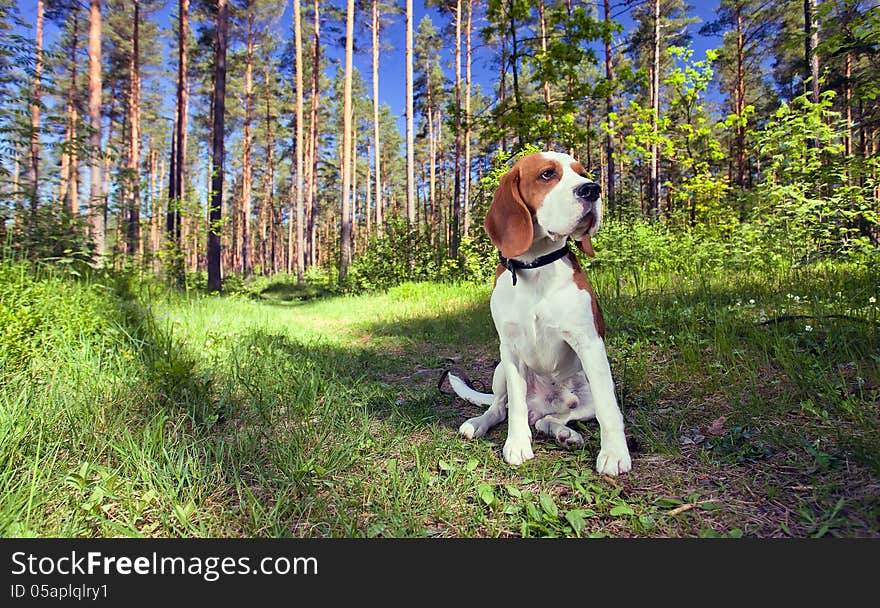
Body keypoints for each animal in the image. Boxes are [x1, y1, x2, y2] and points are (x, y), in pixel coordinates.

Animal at [446, 151, 632, 476]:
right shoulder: (509, 349)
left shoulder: (590, 344)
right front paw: (518, 443)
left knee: (552, 419)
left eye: (584, 173)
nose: (592, 189)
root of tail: (543, 405)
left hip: (585, 389)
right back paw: (478, 423)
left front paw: (614, 454)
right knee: (500, 408)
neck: (536, 267)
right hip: (499, 371)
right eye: (547, 174)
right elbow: (515, 408)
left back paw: (564, 433)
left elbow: (609, 409)